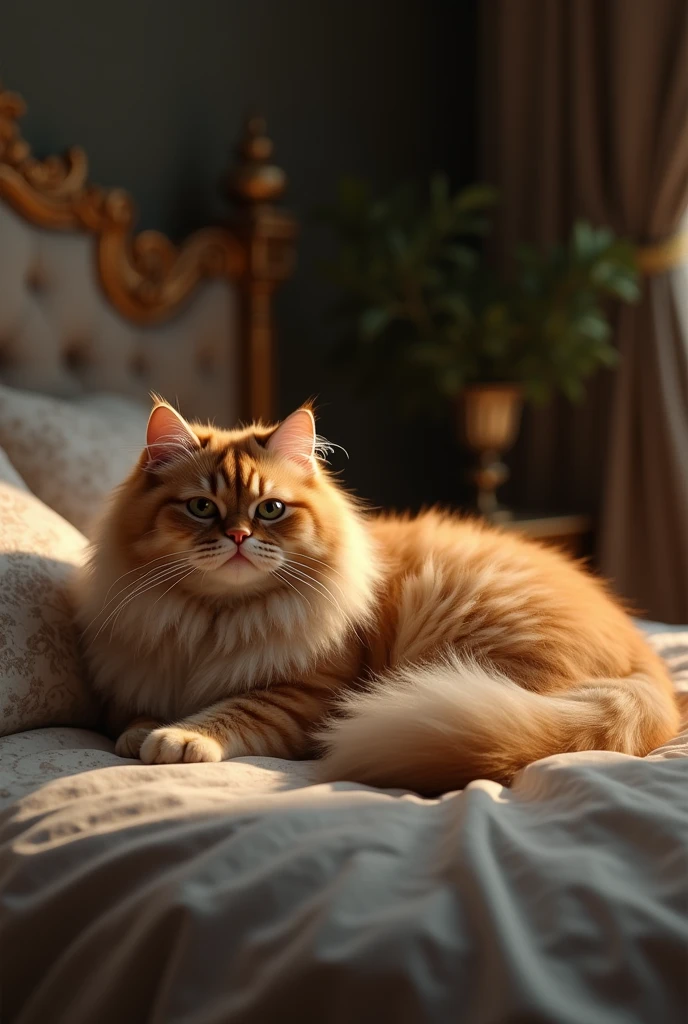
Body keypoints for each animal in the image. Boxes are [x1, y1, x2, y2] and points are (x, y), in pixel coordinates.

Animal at [73, 399, 675, 790]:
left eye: (271, 509)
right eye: (201, 507)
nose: (239, 537)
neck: (214, 619)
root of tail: (651, 670)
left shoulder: (307, 696)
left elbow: (232, 710)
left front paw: (176, 737)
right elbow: (129, 717)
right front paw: (142, 731)